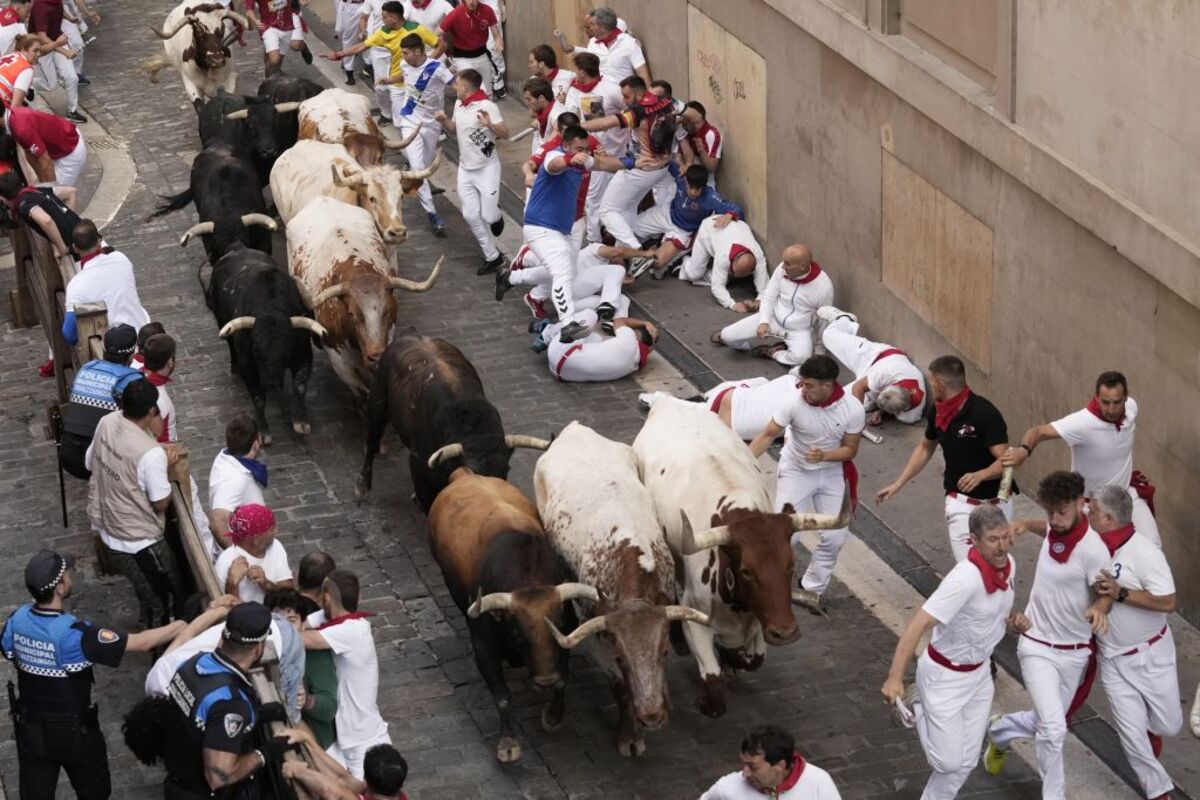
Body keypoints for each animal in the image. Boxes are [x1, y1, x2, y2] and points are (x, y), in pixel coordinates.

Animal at [286, 196, 446, 398]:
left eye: (388, 310)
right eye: (352, 314)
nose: (376, 356)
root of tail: (322, 199)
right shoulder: (340, 362)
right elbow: (362, 395)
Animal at [530, 422, 705, 762]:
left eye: (664, 652)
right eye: (621, 658)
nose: (651, 716)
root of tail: (573, 430)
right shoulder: (599, 636)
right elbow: (619, 687)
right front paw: (630, 735)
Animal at [633, 400, 849, 719]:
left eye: (790, 565)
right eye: (746, 571)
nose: (785, 633)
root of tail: (668, 402)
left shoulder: (762, 617)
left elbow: (754, 659)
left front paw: (732, 656)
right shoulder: (696, 619)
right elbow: (713, 681)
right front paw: (710, 697)